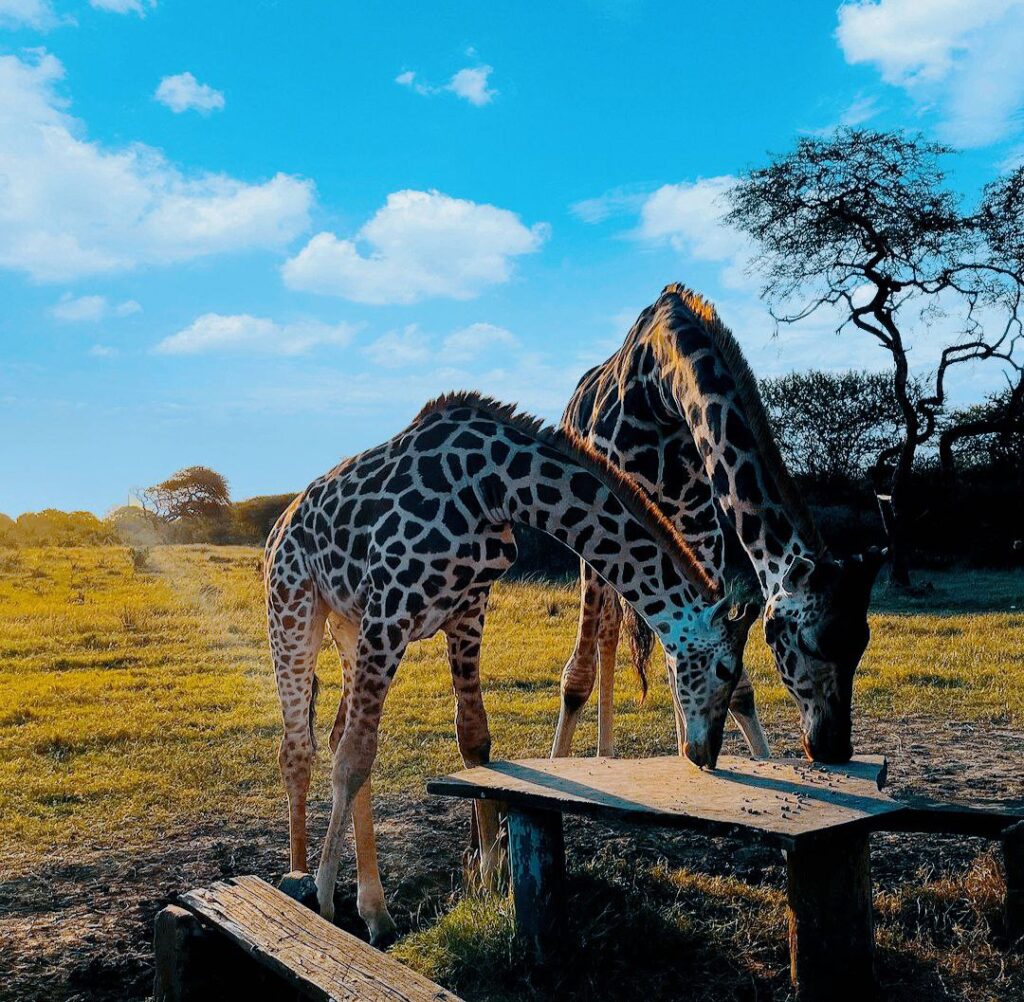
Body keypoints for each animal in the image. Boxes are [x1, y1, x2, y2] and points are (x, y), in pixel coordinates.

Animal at [266, 388, 761, 941]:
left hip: (348, 625)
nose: (704, 753)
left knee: (332, 736)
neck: (494, 487)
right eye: (725, 671)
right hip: (293, 606)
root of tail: (278, 526)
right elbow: (355, 756)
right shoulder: (391, 606)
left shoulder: (467, 609)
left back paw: (377, 913)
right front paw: (327, 899)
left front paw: (489, 880)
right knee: (299, 748)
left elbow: (473, 740)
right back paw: (301, 881)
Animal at [557, 286, 884, 765]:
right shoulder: (600, 514)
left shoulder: (702, 527)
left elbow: (730, 680)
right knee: (605, 631)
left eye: (862, 643)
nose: (833, 747)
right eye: (808, 642)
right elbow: (577, 678)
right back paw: (604, 755)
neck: (662, 392)